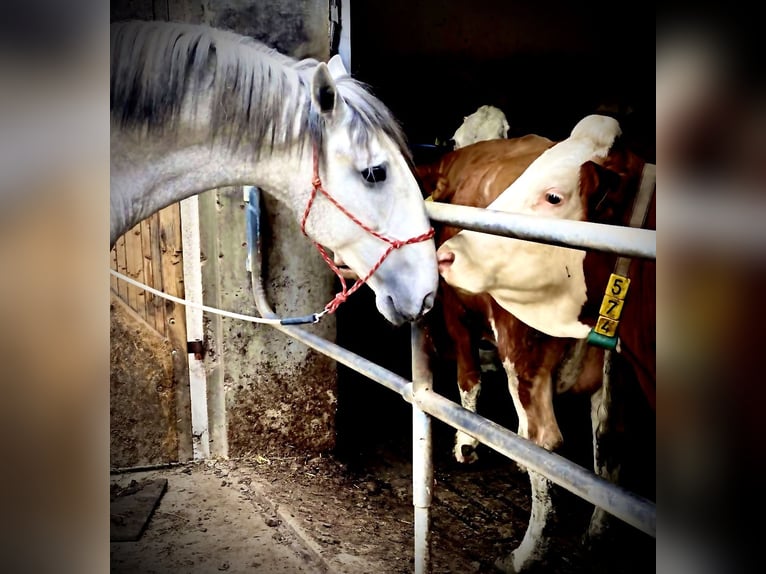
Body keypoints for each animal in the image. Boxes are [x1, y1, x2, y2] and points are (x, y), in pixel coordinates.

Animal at [424, 115, 656, 572]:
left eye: (554, 196)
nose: (448, 254)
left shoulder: (456, 315)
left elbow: (468, 379)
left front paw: (467, 444)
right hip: (610, 372)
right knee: (609, 436)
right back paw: (596, 534)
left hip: (523, 349)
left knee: (543, 443)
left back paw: (526, 553)